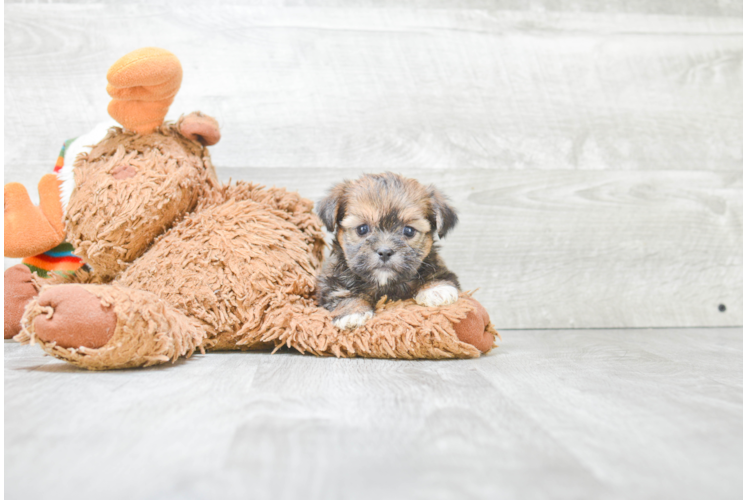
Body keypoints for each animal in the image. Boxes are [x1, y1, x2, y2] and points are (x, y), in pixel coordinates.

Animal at [316, 172, 462, 328]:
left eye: (409, 231)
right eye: (362, 229)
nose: (385, 252)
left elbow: (437, 272)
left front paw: (436, 289)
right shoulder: (330, 280)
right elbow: (339, 292)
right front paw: (352, 311)